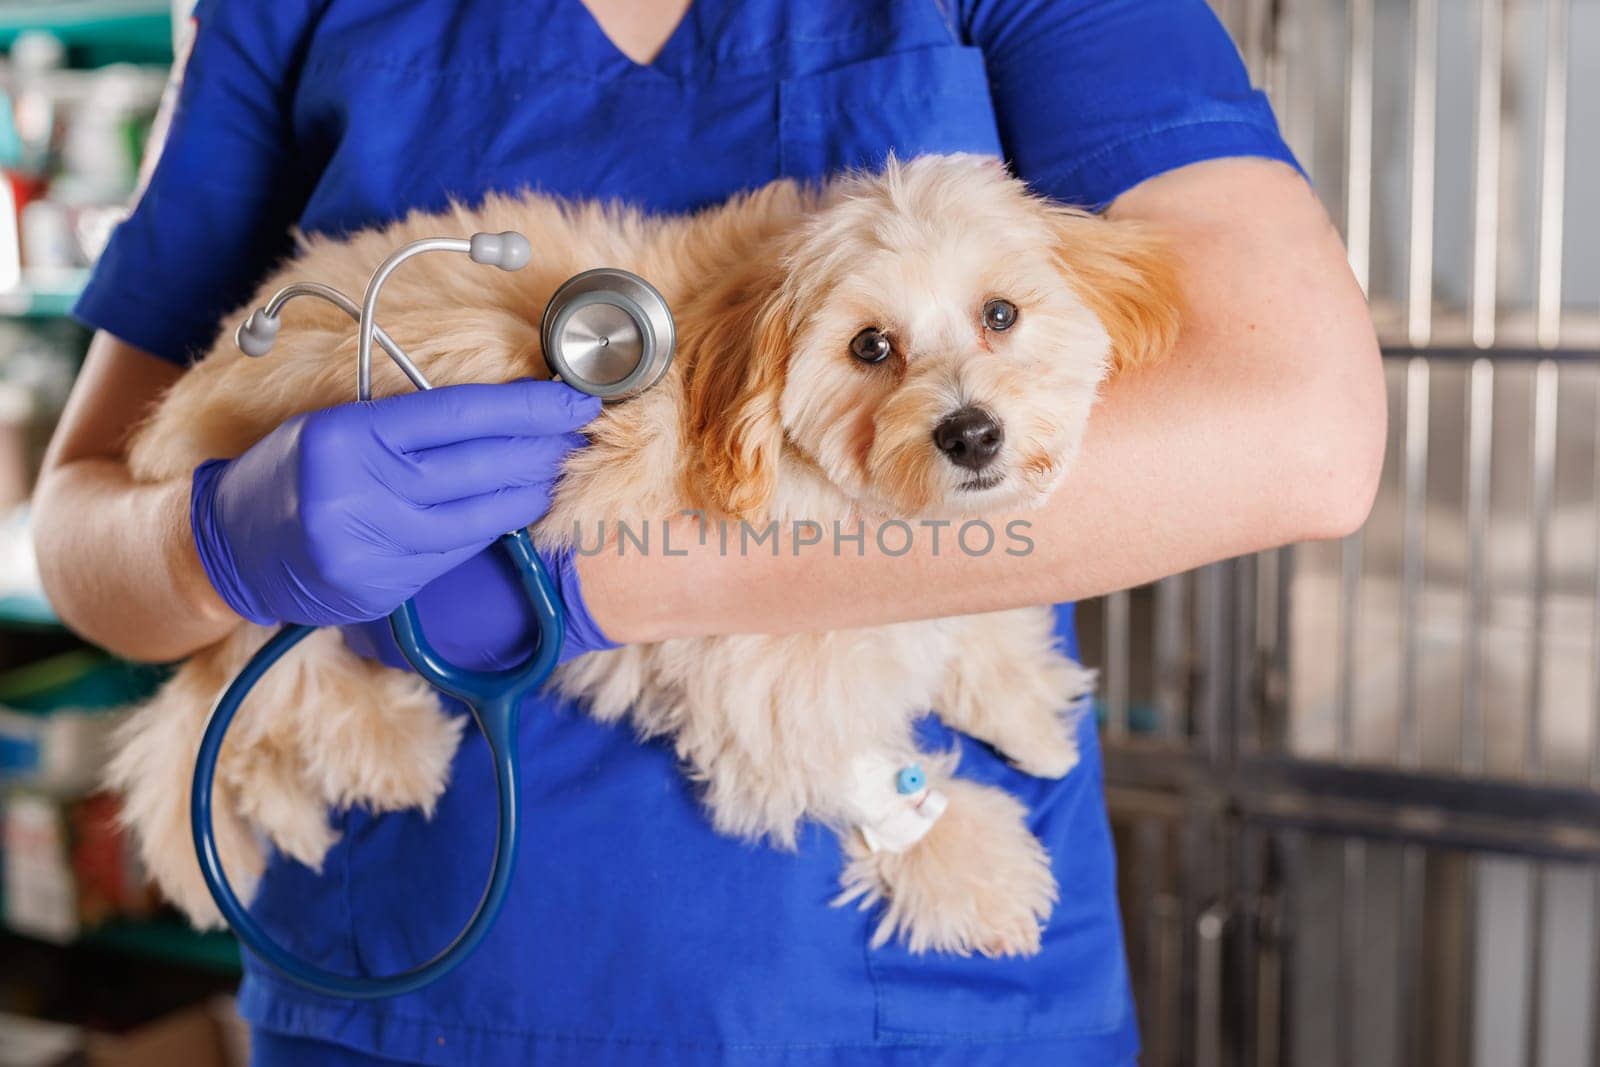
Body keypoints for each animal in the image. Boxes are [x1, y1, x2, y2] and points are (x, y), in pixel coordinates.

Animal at [112, 151, 1184, 959]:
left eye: (1001, 314)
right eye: (871, 347)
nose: (970, 433)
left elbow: (957, 621)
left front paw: (1022, 705)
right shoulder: (737, 655)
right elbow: (845, 754)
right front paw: (976, 870)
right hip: (279, 579)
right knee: (263, 693)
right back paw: (389, 749)